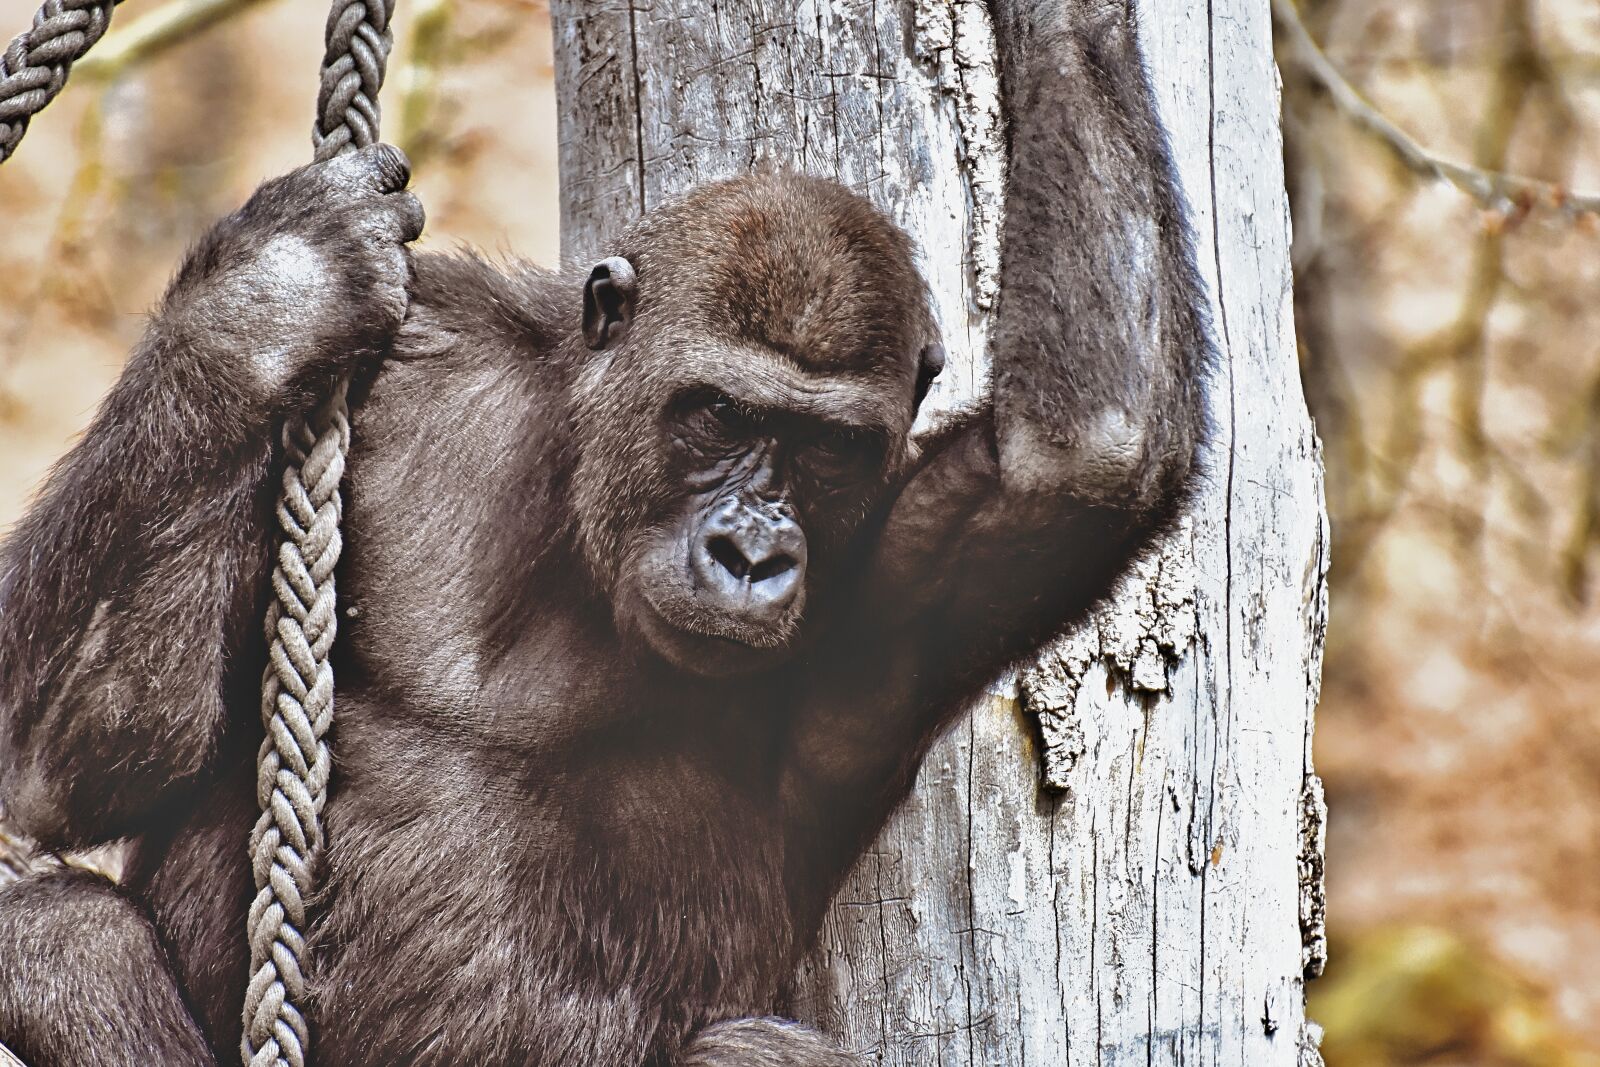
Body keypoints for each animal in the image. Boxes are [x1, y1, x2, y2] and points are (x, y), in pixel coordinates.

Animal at [0, 0, 1210, 1064]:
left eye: (825, 449)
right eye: (719, 414)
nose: (752, 552)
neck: (575, 517)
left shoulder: (902, 576)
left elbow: (1079, 454)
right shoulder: (412, 358)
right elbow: (64, 763)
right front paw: (265, 303)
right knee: (52, 925)